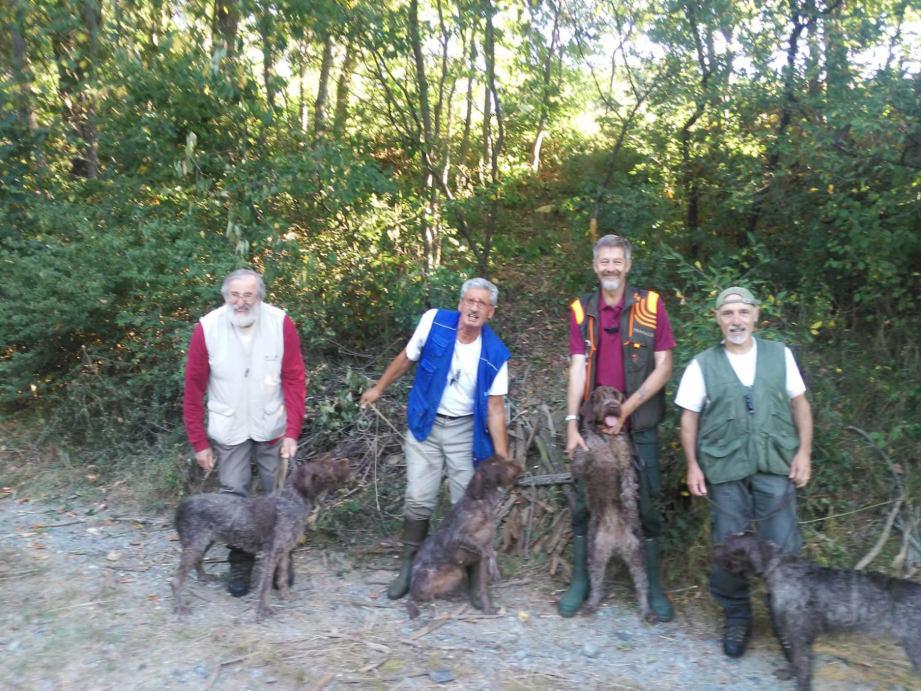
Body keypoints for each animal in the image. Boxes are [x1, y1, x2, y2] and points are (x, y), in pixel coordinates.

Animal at [171, 454, 350, 620]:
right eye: (327, 466)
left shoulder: (284, 551)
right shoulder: (271, 553)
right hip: (196, 543)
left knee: (198, 561)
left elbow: (282, 578)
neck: (291, 500)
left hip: (205, 541)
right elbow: (265, 585)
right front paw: (264, 609)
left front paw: (286, 595)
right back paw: (180, 606)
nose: (346, 462)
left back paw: (204, 577)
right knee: (176, 580)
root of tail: (182, 505)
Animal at [406, 456, 520, 620]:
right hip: (430, 575)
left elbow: (484, 583)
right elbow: (480, 549)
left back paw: (452, 597)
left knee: (436, 594)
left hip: (457, 573)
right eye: (494, 463)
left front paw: (487, 606)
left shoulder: (486, 546)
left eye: (501, 459)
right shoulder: (459, 536)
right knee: (414, 598)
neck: (481, 502)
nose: (517, 464)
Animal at [572, 390, 652, 620]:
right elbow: (584, 457)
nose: (613, 406)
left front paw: (629, 507)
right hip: (595, 554)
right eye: (599, 397)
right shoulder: (585, 456)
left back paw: (647, 610)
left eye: (616, 395)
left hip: (636, 555)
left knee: (642, 585)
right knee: (596, 584)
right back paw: (590, 605)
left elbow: (627, 487)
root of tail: (616, 543)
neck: (605, 436)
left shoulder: (626, 463)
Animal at [716, 532, 916, 688]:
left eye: (729, 545)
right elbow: (796, 659)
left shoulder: (799, 633)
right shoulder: (797, 634)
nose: (715, 547)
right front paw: (790, 673)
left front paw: (802, 685)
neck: (779, 567)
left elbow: (801, 662)